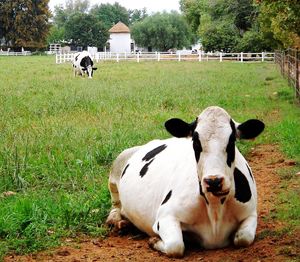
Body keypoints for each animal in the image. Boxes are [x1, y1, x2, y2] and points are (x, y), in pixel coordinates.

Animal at [106, 106, 264, 258]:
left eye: (231, 142)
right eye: (195, 142)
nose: (213, 181)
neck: (215, 207)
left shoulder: (250, 213)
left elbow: (244, 238)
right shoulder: (165, 215)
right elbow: (176, 245)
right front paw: (154, 240)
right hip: (117, 165)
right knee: (115, 204)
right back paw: (117, 221)